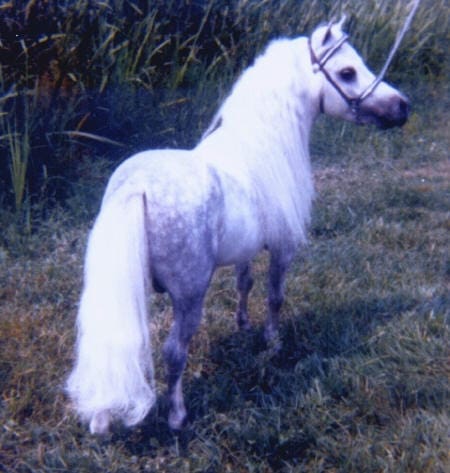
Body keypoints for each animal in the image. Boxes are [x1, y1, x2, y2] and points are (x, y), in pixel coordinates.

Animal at [66, 18, 408, 434]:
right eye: (347, 72)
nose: (402, 107)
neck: (258, 147)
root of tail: (138, 186)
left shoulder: (248, 249)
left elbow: (245, 284)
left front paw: (243, 324)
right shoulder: (283, 248)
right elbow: (275, 296)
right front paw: (272, 342)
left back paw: (100, 419)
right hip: (189, 296)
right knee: (174, 352)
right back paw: (177, 416)